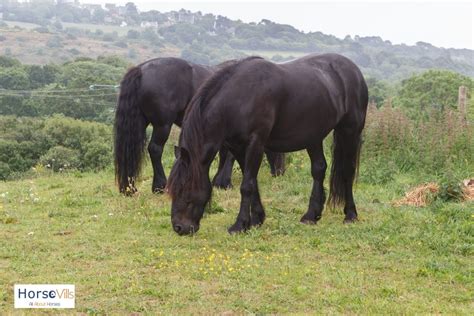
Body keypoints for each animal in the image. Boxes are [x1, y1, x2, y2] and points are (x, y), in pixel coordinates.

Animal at [114, 57, 286, 195]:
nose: (280, 172)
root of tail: (141, 70)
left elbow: (224, 154)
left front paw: (219, 181)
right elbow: (230, 155)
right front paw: (225, 182)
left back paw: (129, 188)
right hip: (162, 125)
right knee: (155, 149)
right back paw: (160, 186)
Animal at [168, 53, 368, 235]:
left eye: (184, 187)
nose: (179, 228)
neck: (238, 99)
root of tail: (353, 70)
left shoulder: (256, 143)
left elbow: (246, 186)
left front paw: (239, 225)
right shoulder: (238, 147)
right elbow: (251, 182)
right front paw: (256, 219)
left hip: (349, 131)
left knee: (347, 172)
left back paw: (350, 215)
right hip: (314, 136)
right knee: (319, 169)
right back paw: (311, 215)